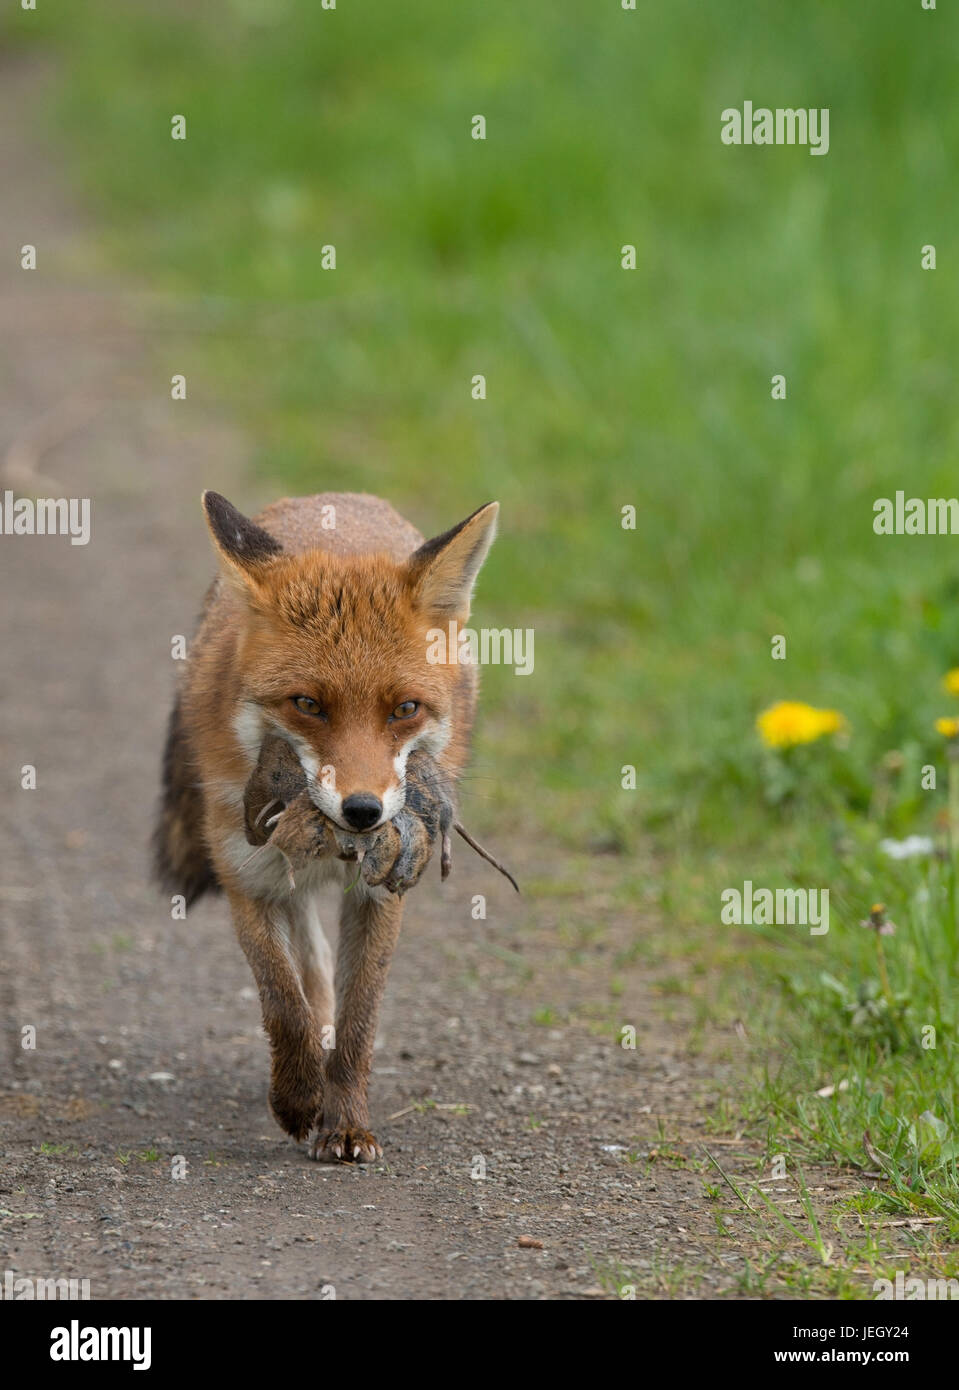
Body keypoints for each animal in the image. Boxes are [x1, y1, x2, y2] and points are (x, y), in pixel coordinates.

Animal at [152, 489, 497, 1162]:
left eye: (405, 708)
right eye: (308, 704)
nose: (363, 811)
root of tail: (334, 500)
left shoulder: (381, 891)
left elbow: (361, 1018)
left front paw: (346, 1123)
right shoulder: (247, 877)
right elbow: (284, 1004)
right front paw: (297, 1099)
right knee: (309, 975)